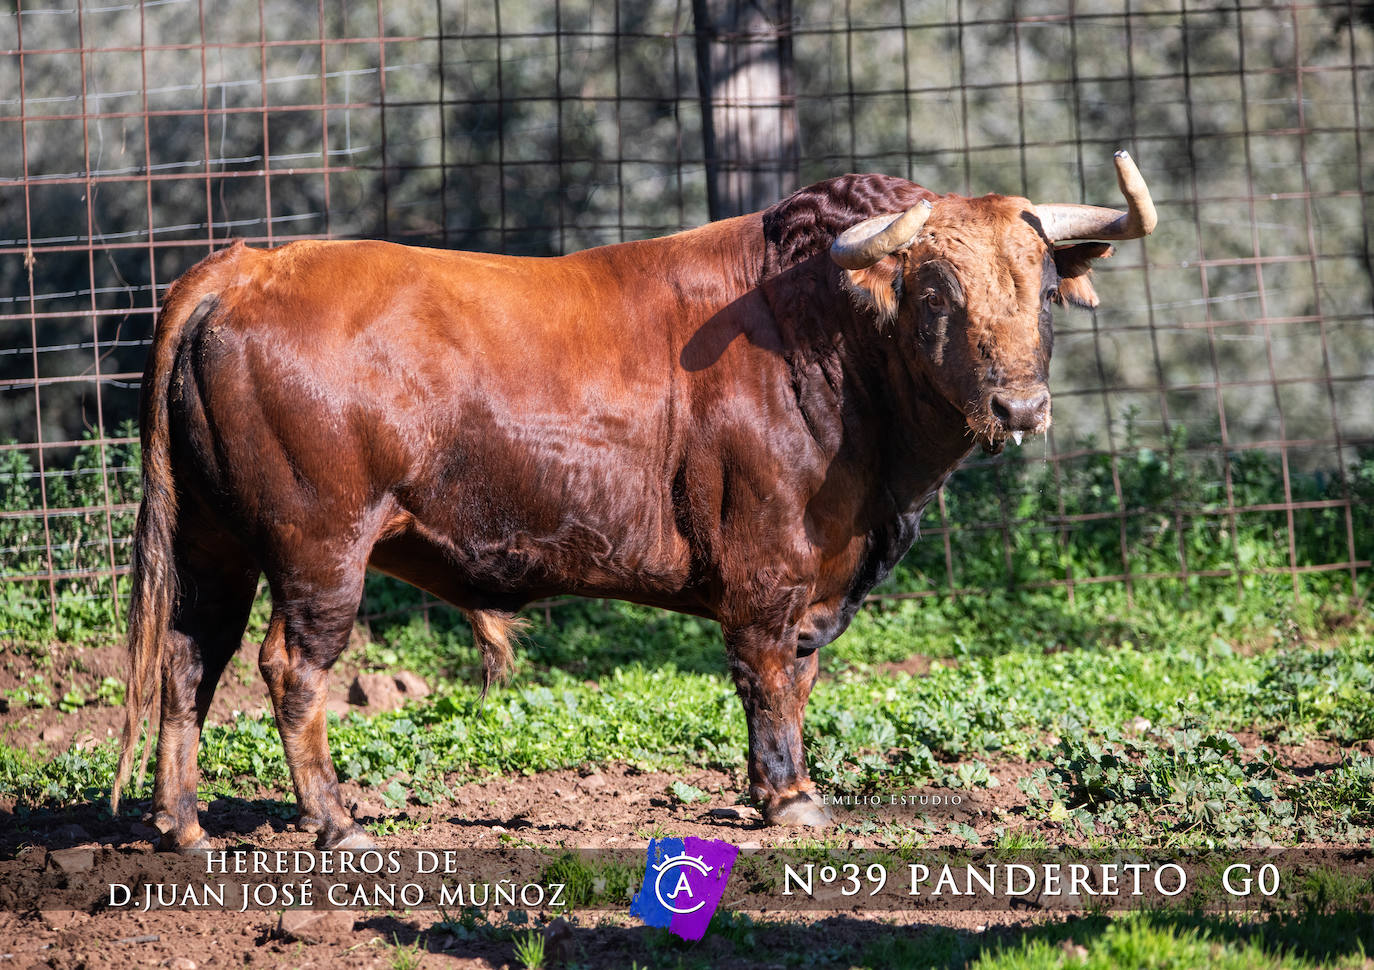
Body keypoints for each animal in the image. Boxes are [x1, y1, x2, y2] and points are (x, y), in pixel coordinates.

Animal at [112, 149, 1154, 846]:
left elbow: (800, 678)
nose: (1020, 405)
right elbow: (768, 678)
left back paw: (182, 824)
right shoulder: (768, 569)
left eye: (1044, 293)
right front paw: (790, 798)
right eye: (936, 292)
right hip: (318, 546)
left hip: (212, 541)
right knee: (290, 668)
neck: (828, 340)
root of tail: (245, 263)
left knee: (187, 660)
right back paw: (334, 821)